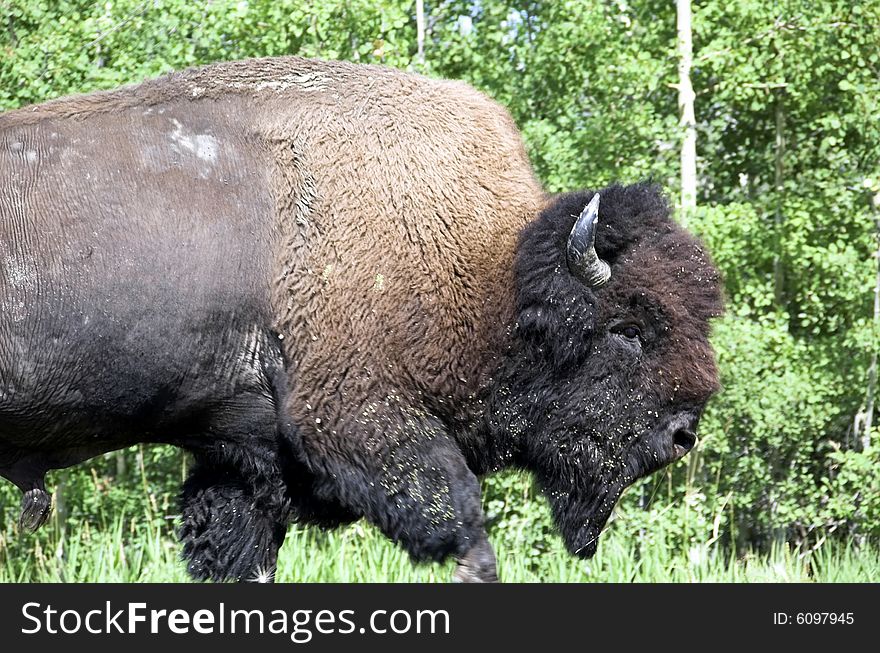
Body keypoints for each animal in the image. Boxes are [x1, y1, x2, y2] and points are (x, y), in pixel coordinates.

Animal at [0, 57, 720, 580]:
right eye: (629, 330)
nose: (683, 434)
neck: (490, 266)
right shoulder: (357, 414)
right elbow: (460, 520)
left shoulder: (239, 457)